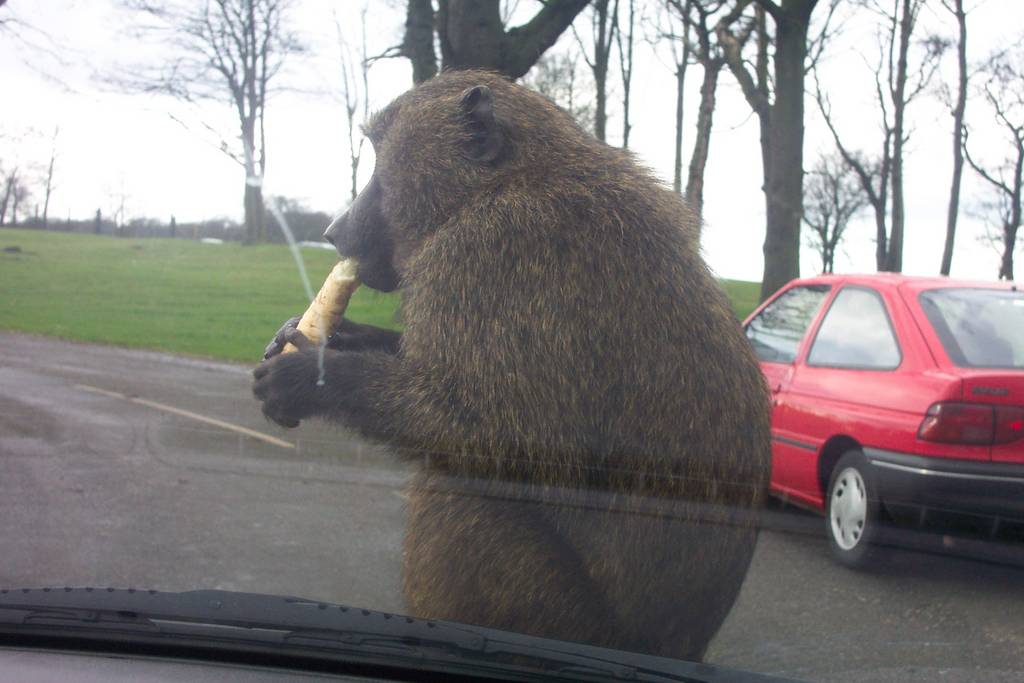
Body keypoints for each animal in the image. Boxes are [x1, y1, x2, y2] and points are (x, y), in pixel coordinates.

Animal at [254, 69, 770, 662]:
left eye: (381, 156)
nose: (334, 231)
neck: (504, 181)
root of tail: (678, 648)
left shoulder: (489, 249)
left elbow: (502, 436)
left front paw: (310, 378)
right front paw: (335, 336)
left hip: (566, 621)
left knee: (462, 487)